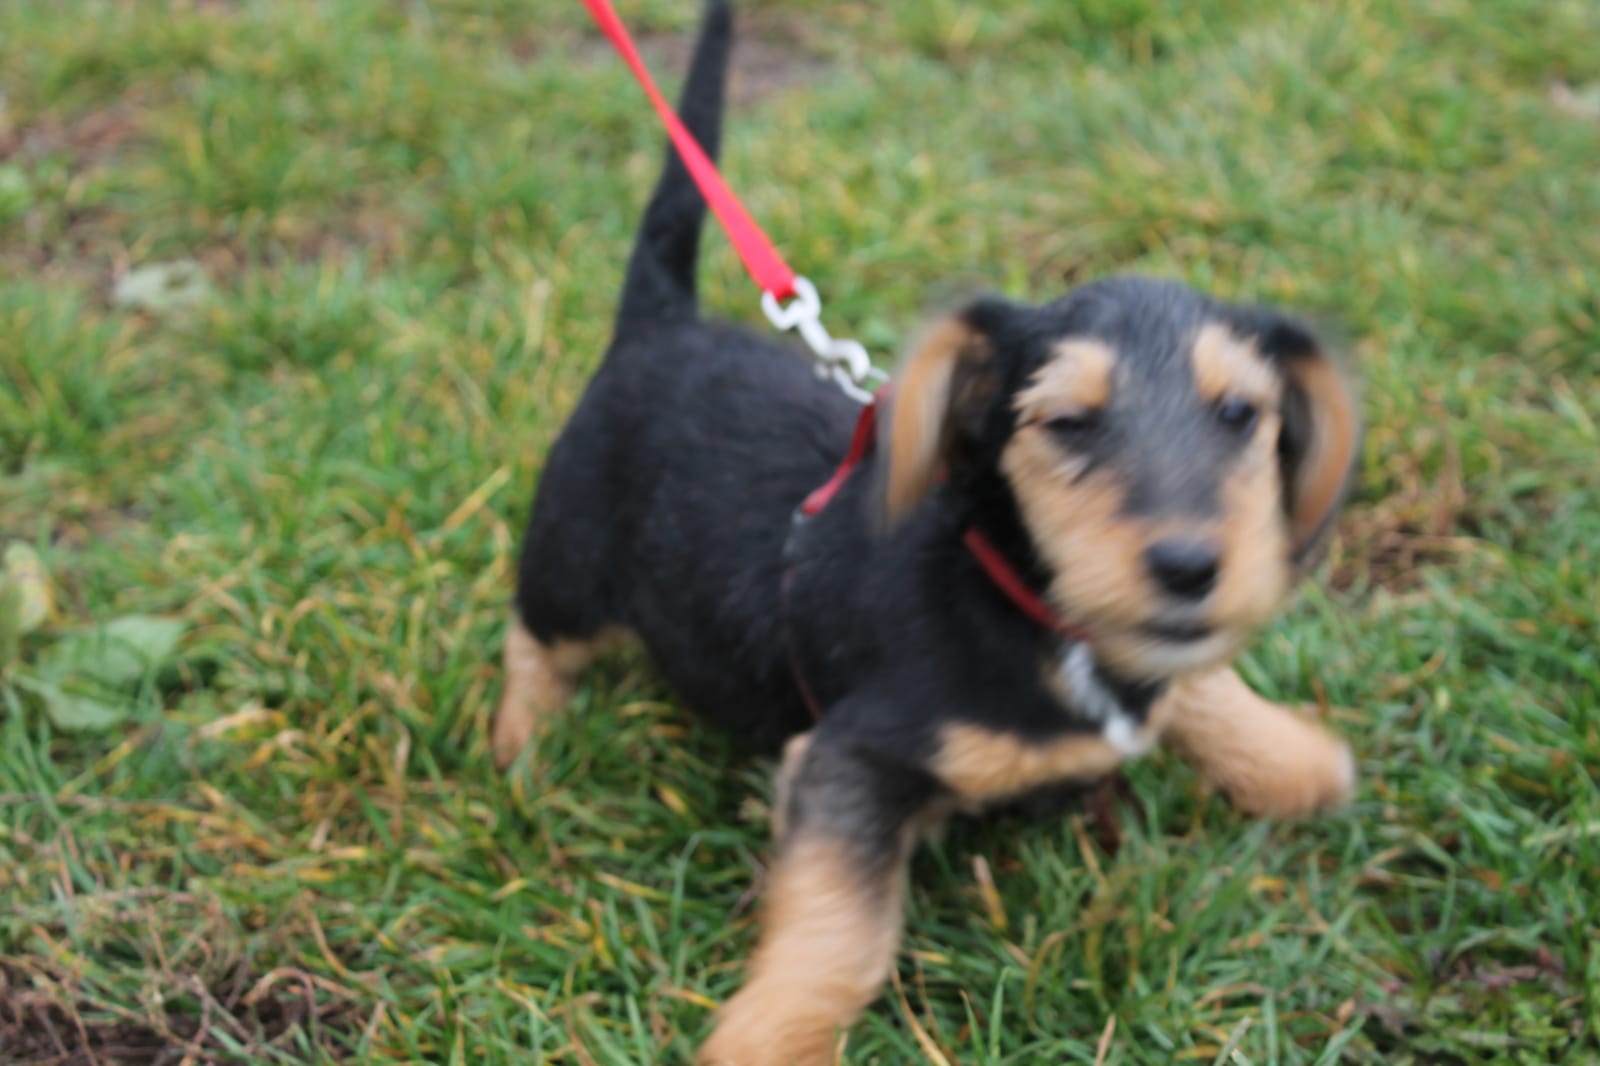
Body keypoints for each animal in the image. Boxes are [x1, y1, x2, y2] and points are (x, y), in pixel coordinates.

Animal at [494, 3, 1361, 1062]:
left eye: (1240, 414)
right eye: (1068, 423)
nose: (1192, 565)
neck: (1021, 601)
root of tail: (658, 324)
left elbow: (1200, 686)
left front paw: (1292, 761)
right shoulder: (849, 758)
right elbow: (844, 932)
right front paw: (769, 1035)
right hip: (570, 563)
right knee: (532, 638)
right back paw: (524, 747)